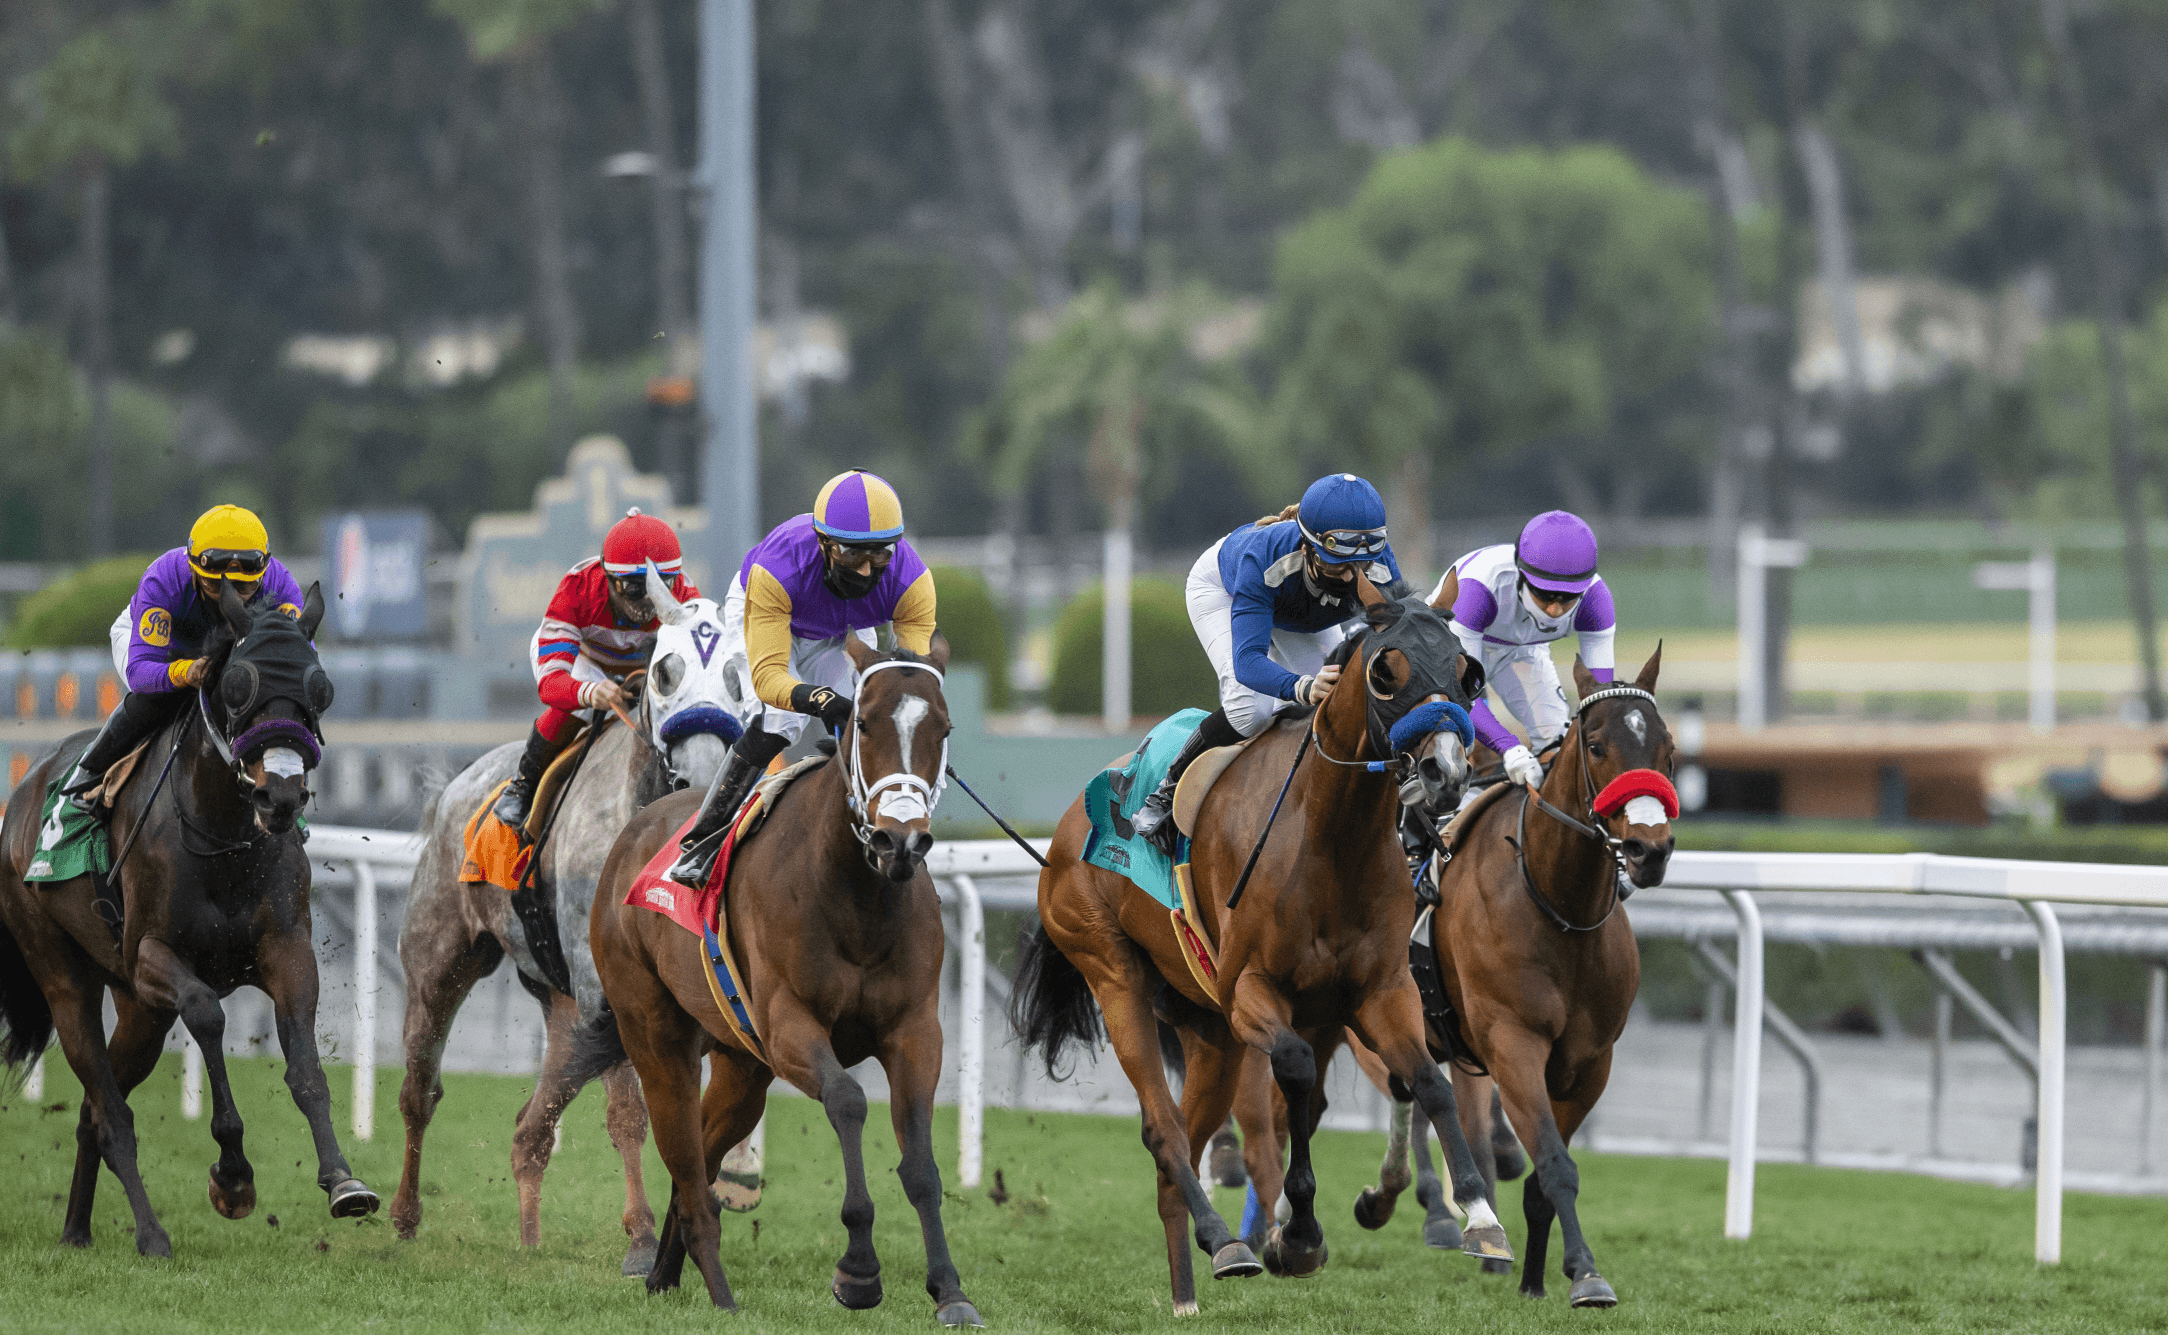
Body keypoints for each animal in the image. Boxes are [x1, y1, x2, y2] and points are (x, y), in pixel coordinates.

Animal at [576, 637, 984, 1326]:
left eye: (945, 728)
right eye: (862, 722)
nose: (899, 841)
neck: (858, 901)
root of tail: (635, 830)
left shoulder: (915, 1033)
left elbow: (922, 1164)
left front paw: (950, 1291)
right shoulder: (790, 1024)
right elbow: (847, 1100)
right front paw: (858, 1271)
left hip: (742, 1068)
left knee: (702, 1155)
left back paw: (666, 1274)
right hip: (654, 1033)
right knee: (684, 1155)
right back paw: (719, 1292)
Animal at [1344, 645, 1682, 1300]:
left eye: (1668, 746)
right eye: (1596, 745)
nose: (1649, 850)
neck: (1558, 907)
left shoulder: (1588, 1063)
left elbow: (1542, 1176)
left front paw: (1537, 1279)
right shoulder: (1513, 1043)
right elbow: (1553, 1162)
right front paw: (1587, 1275)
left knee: (1434, 1102)